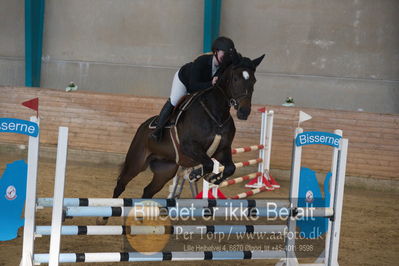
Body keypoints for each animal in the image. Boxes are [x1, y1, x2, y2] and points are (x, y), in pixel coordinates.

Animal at [113, 53, 266, 200]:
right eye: (235, 79)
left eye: (254, 80)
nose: (244, 112)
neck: (216, 116)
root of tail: (142, 126)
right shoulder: (190, 147)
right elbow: (209, 164)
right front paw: (196, 175)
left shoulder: (222, 150)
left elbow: (230, 168)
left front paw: (213, 178)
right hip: (136, 162)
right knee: (120, 184)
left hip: (165, 170)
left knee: (148, 191)